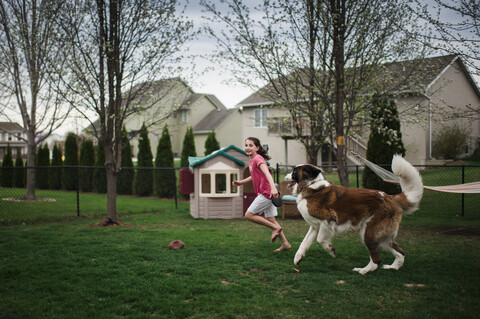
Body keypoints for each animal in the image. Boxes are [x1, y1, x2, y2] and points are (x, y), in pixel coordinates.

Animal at [286, 155, 422, 276]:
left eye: (294, 171)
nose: (286, 175)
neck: (310, 185)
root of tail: (391, 198)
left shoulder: (328, 219)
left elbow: (320, 239)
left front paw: (330, 249)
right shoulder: (316, 226)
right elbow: (304, 242)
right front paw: (298, 258)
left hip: (369, 233)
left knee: (376, 259)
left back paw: (364, 271)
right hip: (381, 237)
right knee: (400, 252)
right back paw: (393, 267)